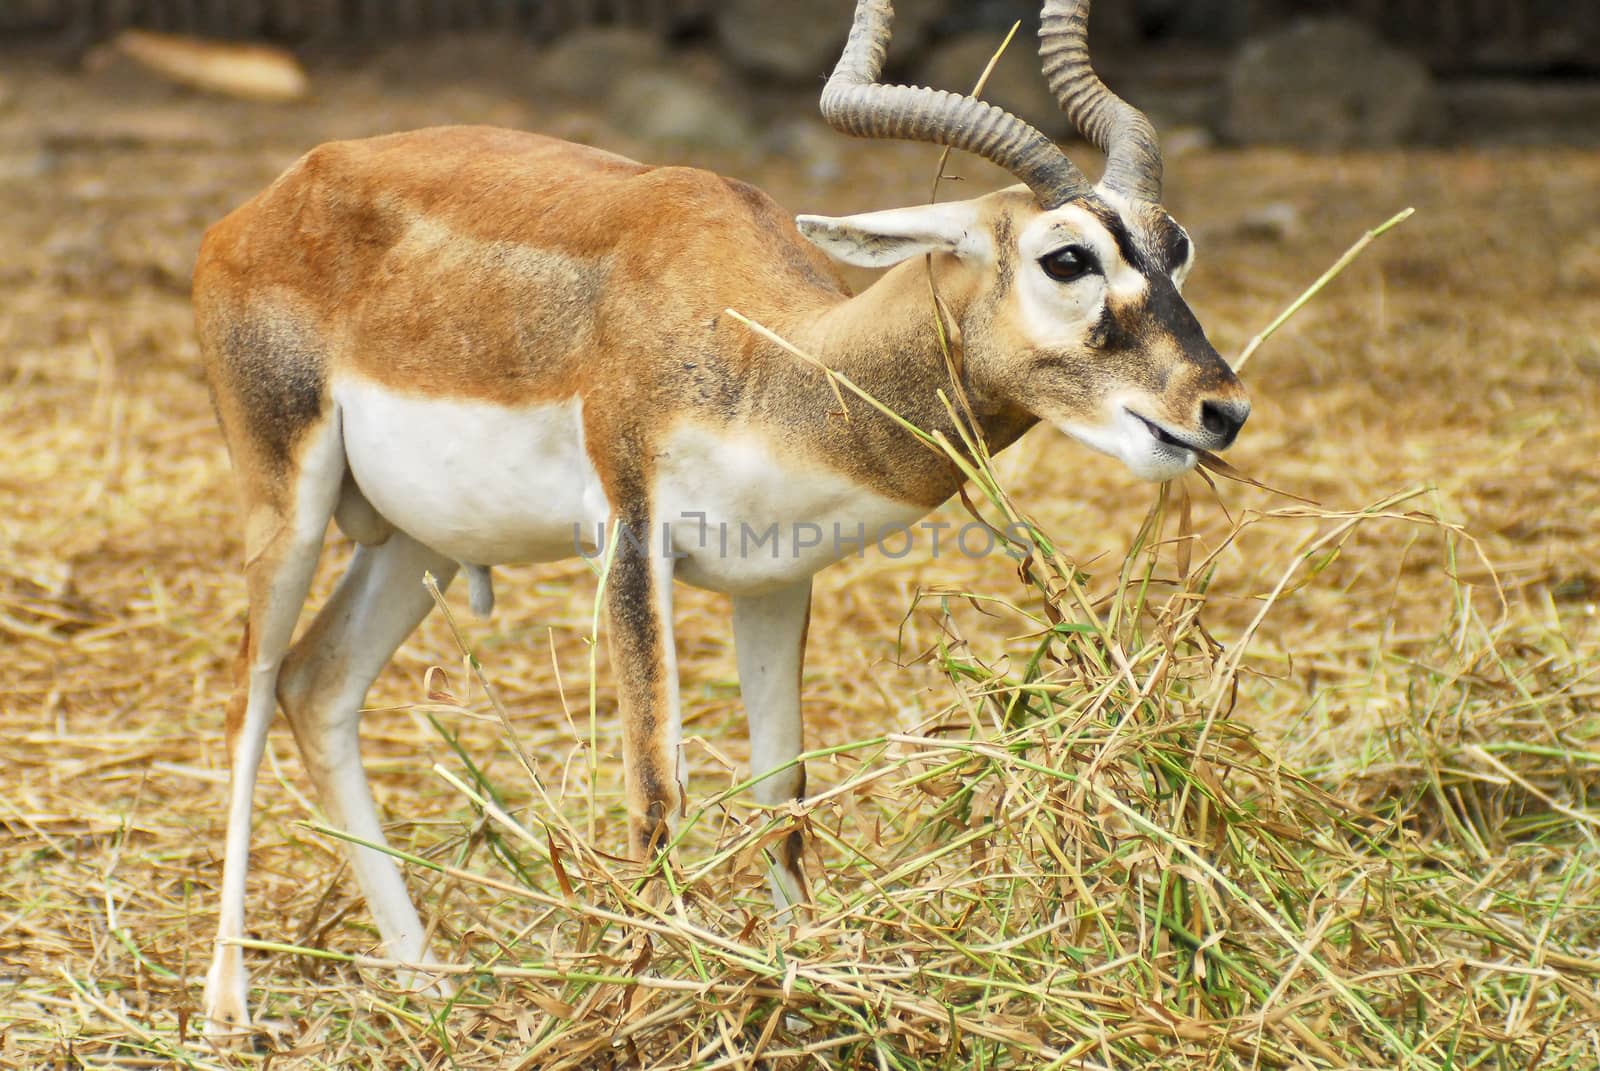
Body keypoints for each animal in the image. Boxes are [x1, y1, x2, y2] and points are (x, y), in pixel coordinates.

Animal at [196, 0, 1248, 1037]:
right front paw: (648, 1015)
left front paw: (800, 996)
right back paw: (227, 1007)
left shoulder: (778, 578)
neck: (762, 352)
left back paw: (426, 980)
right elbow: (656, 790)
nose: (1221, 408)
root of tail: (263, 205)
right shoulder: (631, 537)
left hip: (421, 543)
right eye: (1066, 256)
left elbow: (782, 787)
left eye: (1178, 244)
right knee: (249, 695)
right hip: (286, 504)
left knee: (316, 685)